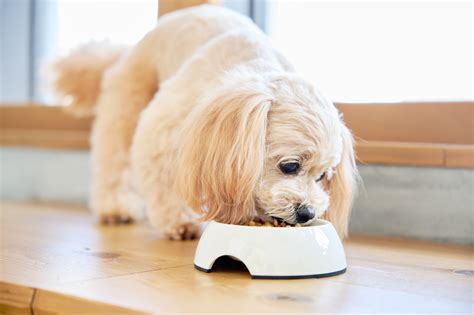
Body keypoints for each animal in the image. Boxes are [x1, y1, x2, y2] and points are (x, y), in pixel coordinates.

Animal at [49, 4, 360, 239]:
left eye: (322, 176)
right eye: (290, 166)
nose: (307, 212)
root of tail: (126, 51)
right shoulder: (161, 130)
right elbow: (164, 182)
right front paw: (180, 222)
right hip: (126, 105)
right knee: (114, 163)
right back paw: (115, 208)